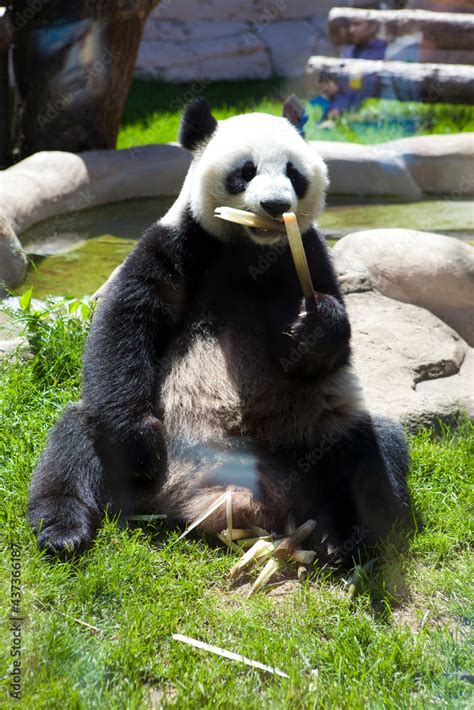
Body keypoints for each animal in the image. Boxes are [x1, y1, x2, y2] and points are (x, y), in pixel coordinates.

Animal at [27, 98, 412, 568]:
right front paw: (140, 444)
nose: (274, 204)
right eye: (244, 171)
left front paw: (316, 325)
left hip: (309, 433)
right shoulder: (177, 243)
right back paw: (64, 532)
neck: (249, 248)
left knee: (369, 448)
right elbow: (128, 322)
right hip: (132, 450)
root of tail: (223, 499)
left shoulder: (308, 252)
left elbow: (331, 350)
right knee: (74, 442)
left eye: (293, 173)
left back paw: (341, 538)